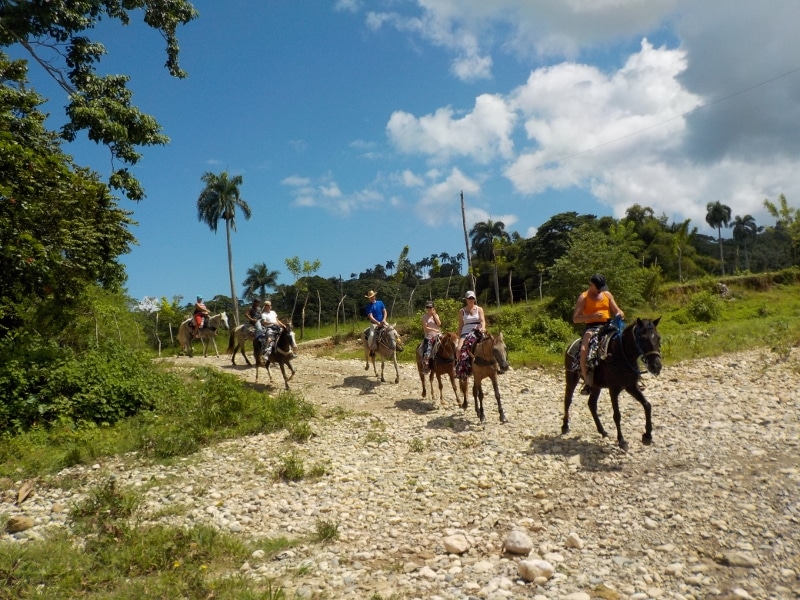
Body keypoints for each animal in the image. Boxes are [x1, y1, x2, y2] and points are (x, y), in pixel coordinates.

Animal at [562, 317, 662, 451]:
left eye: (658, 338)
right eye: (642, 338)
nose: (656, 366)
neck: (621, 355)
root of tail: (571, 345)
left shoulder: (631, 386)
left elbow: (647, 405)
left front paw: (647, 436)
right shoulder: (613, 390)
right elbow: (617, 415)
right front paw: (622, 441)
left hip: (596, 385)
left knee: (591, 404)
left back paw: (602, 431)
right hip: (571, 378)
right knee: (568, 400)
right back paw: (565, 426)